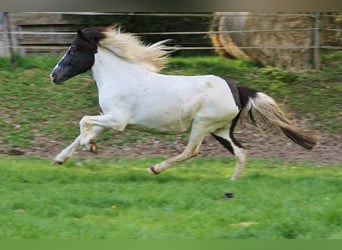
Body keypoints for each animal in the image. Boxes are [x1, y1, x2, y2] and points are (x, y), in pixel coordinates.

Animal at [49, 25, 320, 181]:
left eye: (73, 50)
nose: (54, 75)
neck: (121, 77)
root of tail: (237, 90)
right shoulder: (108, 118)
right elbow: (82, 131)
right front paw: (60, 159)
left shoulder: (118, 121)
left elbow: (83, 122)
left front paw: (91, 146)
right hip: (221, 131)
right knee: (241, 151)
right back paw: (232, 184)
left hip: (202, 124)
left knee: (191, 151)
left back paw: (155, 169)